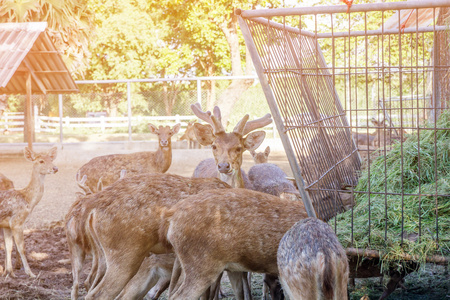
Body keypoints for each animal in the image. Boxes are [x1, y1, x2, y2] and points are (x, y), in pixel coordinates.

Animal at [0, 146, 58, 278]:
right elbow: (22, 247)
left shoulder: (7, 225)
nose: (55, 168)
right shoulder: (17, 222)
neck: (28, 199)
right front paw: (31, 273)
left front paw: (10, 273)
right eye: (41, 161)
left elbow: (9, 247)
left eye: (51, 159)